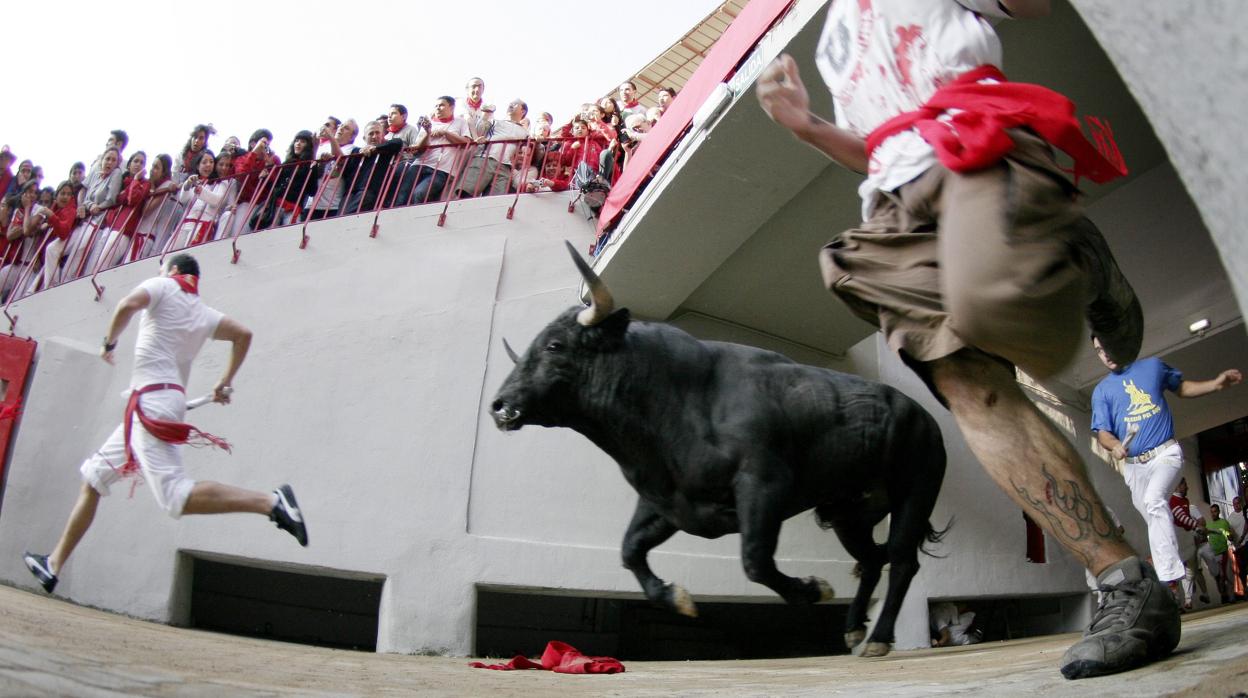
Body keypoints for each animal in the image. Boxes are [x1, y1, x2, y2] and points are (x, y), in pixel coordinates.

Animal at [486, 244, 943, 654]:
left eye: (554, 345)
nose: (499, 406)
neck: (677, 397)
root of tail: (920, 413)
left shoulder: (763, 485)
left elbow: (755, 560)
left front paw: (813, 589)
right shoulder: (669, 502)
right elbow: (630, 550)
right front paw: (677, 598)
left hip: (915, 491)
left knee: (901, 560)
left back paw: (879, 637)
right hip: (847, 513)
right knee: (872, 560)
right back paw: (853, 630)